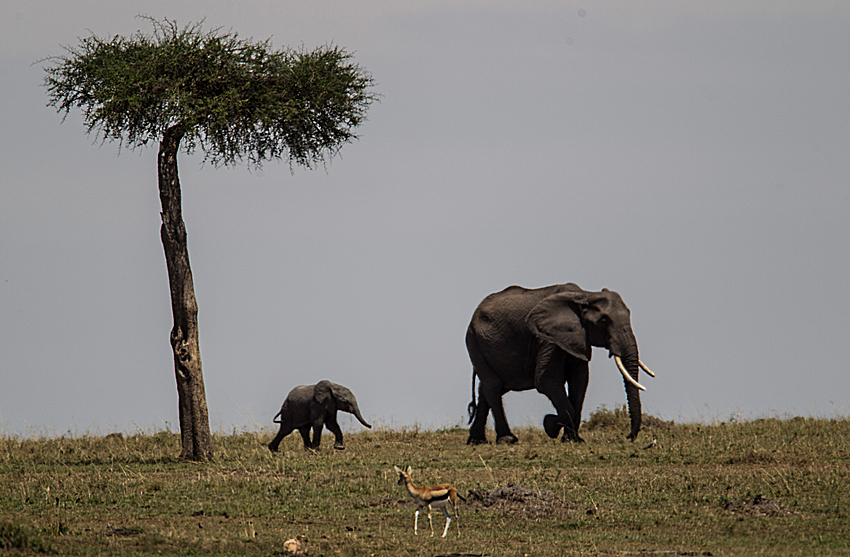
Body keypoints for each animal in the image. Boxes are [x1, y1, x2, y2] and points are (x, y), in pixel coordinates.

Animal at [468, 282, 652, 444]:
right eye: (604, 321)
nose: (629, 437)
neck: (585, 295)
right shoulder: (547, 338)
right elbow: (547, 381)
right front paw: (549, 425)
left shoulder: (577, 338)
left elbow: (580, 381)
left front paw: (574, 440)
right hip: (474, 340)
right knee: (493, 385)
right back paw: (507, 440)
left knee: (488, 387)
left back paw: (477, 441)